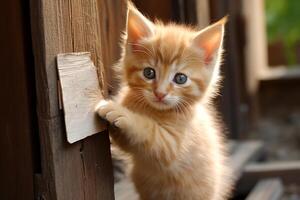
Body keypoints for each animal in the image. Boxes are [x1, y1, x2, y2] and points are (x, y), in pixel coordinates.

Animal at [97, 3, 233, 200]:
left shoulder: (173, 144)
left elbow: (148, 130)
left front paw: (121, 114)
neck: (153, 110)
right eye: (149, 73)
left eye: (180, 78)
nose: (160, 93)